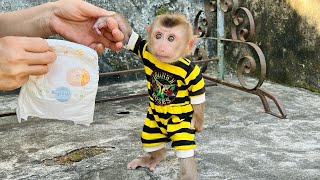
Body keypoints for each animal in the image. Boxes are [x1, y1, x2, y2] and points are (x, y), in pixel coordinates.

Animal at [94, 11, 206, 179]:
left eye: (171, 38)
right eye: (158, 35)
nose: (161, 46)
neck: (168, 63)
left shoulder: (191, 71)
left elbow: (197, 93)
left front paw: (198, 121)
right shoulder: (146, 50)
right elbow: (129, 37)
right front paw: (105, 20)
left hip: (178, 124)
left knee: (183, 147)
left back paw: (186, 174)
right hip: (152, 125)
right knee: (150, 140)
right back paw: (154, 158)